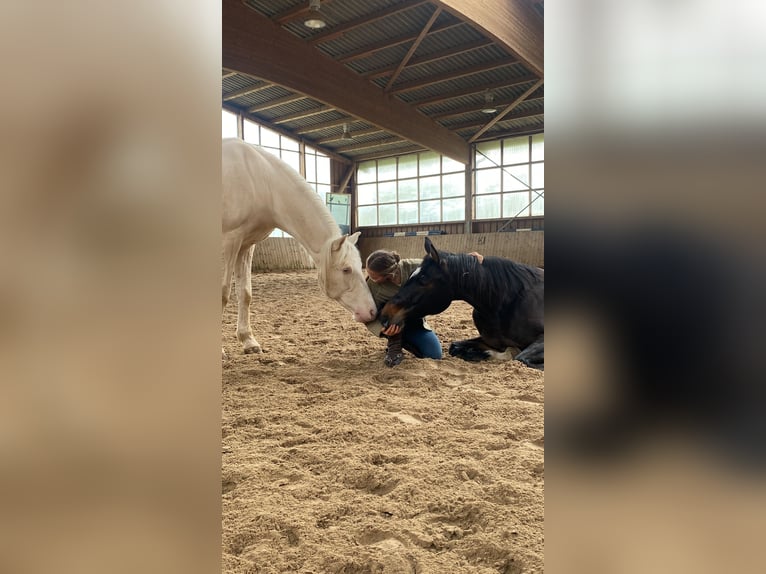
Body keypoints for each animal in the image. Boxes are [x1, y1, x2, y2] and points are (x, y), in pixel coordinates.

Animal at [222, 138, 378, 358]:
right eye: (346, 269)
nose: (372, 311)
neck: (258, 180)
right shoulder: (230, 241)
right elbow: (223, 294)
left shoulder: (245, 245)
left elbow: (244, 293)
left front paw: (248, 341)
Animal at [380, 237, 544, 368]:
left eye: (423, 279)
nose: (385, 314)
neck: (504, 304)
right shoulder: (490, 340)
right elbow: (454, 347)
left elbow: (520, 358)